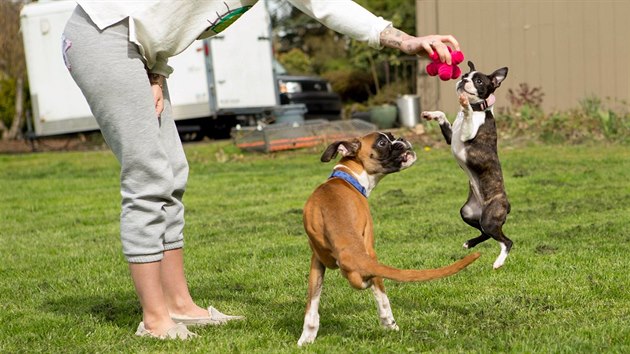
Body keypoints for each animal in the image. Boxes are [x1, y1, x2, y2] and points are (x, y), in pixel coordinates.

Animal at [298, 132, 482, 346]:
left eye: (392, 136)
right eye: (382, 142)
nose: (401, 139)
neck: (347, 177)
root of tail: (348, 246)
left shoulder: (316, 259)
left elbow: (313, 302)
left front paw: (308, 336)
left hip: (320, 261)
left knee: (314, 302)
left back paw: (306, 337)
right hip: (370, 253)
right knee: (378, 292)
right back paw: (390, 324)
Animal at [424, 62, 512, 270]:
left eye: (479, 81)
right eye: (465, 75)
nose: (463, 80)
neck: (479, 108)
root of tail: (507, 205)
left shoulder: (467, 134)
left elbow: (468, 116)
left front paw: (465, 106)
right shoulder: (451, 137)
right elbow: (442, 115)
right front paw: (431, 114)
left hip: (489, 218)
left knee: (506, 241)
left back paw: (498, 262)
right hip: (468, 213)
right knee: (486, 234)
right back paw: (470, 243)